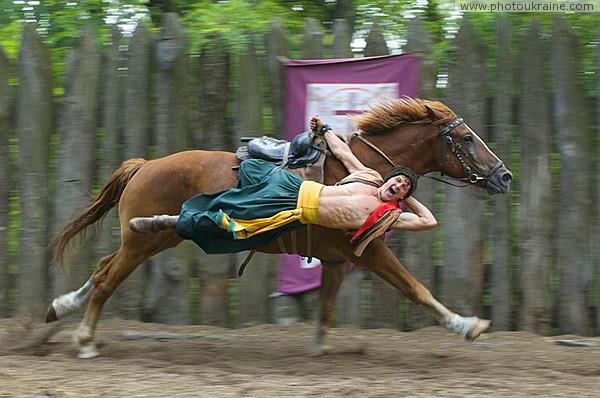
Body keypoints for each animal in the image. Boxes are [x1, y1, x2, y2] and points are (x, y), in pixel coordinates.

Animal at [49, 98, 512, 360]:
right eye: (466, 139)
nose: (504, 176)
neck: (369, 169)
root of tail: (145, 166)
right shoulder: (371, 251)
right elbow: (416, 288)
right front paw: (467, 325)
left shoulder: (338, 259)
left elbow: (326, 304)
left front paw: (321, 348)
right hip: (143, 243)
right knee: (107, 279)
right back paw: (85, 339)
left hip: (147, 240)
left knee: (103, 268)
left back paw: (64, 304)